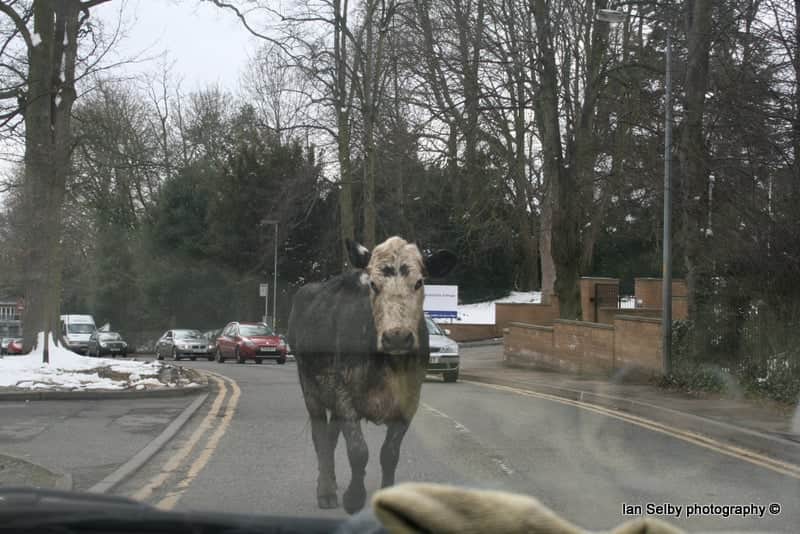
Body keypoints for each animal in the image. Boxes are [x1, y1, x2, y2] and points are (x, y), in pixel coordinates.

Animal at [288, 236, 457, 514]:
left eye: (419, 282)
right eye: (374, 285)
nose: (397, 336)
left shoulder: (409, 399)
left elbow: (389, 454)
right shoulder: (344, 392)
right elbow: (358, 451)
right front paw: (354, 498)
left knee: (331, 437)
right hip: (310, 385)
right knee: (320, 436)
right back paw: (326, 491)